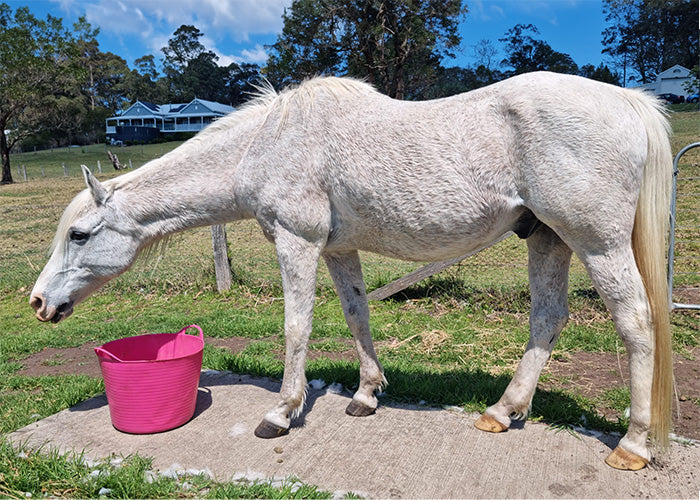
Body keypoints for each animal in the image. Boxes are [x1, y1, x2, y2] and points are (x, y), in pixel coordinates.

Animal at [31, 72, 672, 470]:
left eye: (79, 234)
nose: (38, 303)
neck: (267, 144)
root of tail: (626, 100)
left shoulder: (298, 244)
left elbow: (298, 328)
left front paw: (281, 413)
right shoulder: (338, 251)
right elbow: (357, 316)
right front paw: (366, 395)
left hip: (597, 243)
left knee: (637, 324)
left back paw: (633, 446)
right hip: (548, 239)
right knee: (547, 318)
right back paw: (500, 412)